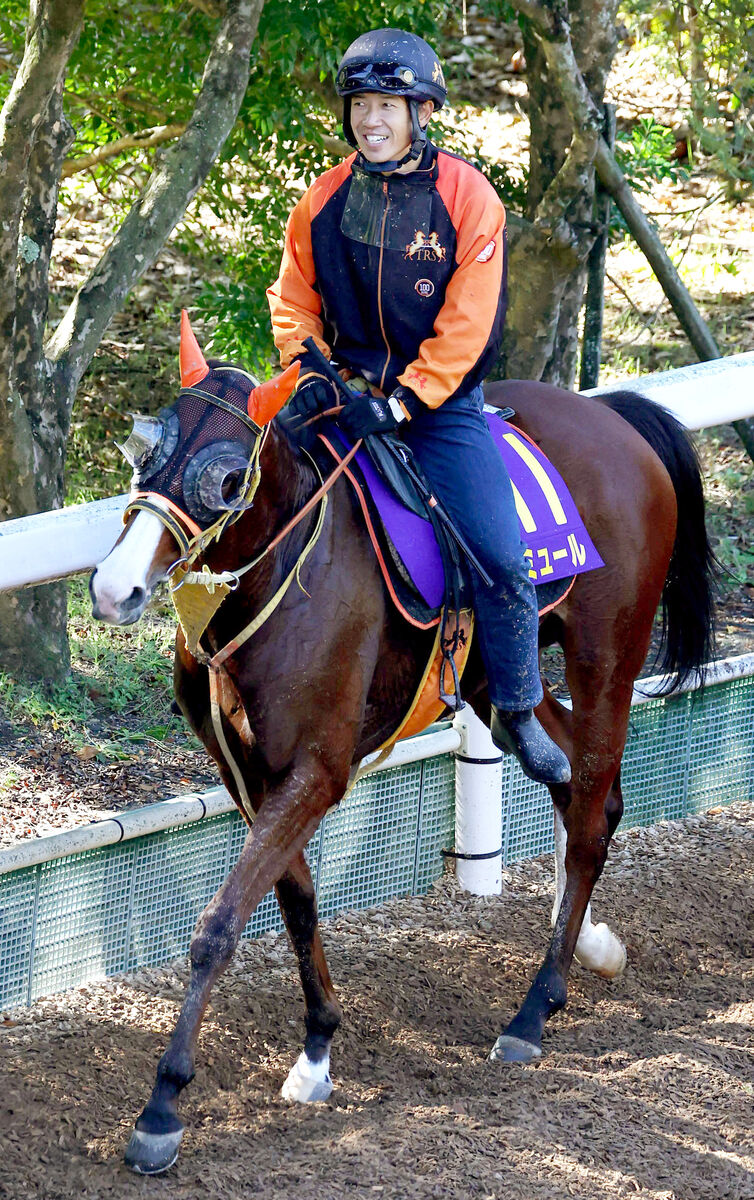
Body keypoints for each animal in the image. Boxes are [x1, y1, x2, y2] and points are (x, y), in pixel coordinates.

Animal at [88, 316, 710, 1171]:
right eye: (144, 451)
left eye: (228, 479)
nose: (113, 589)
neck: (280, 579)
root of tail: (614, 414)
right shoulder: (250, 769)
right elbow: (296, 902)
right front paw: (317, 1051)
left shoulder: (317, 770)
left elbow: (219, 925)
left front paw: (161, 1107)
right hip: (493, 675)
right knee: (583, 786)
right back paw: (592, 947)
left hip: (607, 654)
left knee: (588, 816)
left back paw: (533, 1011)